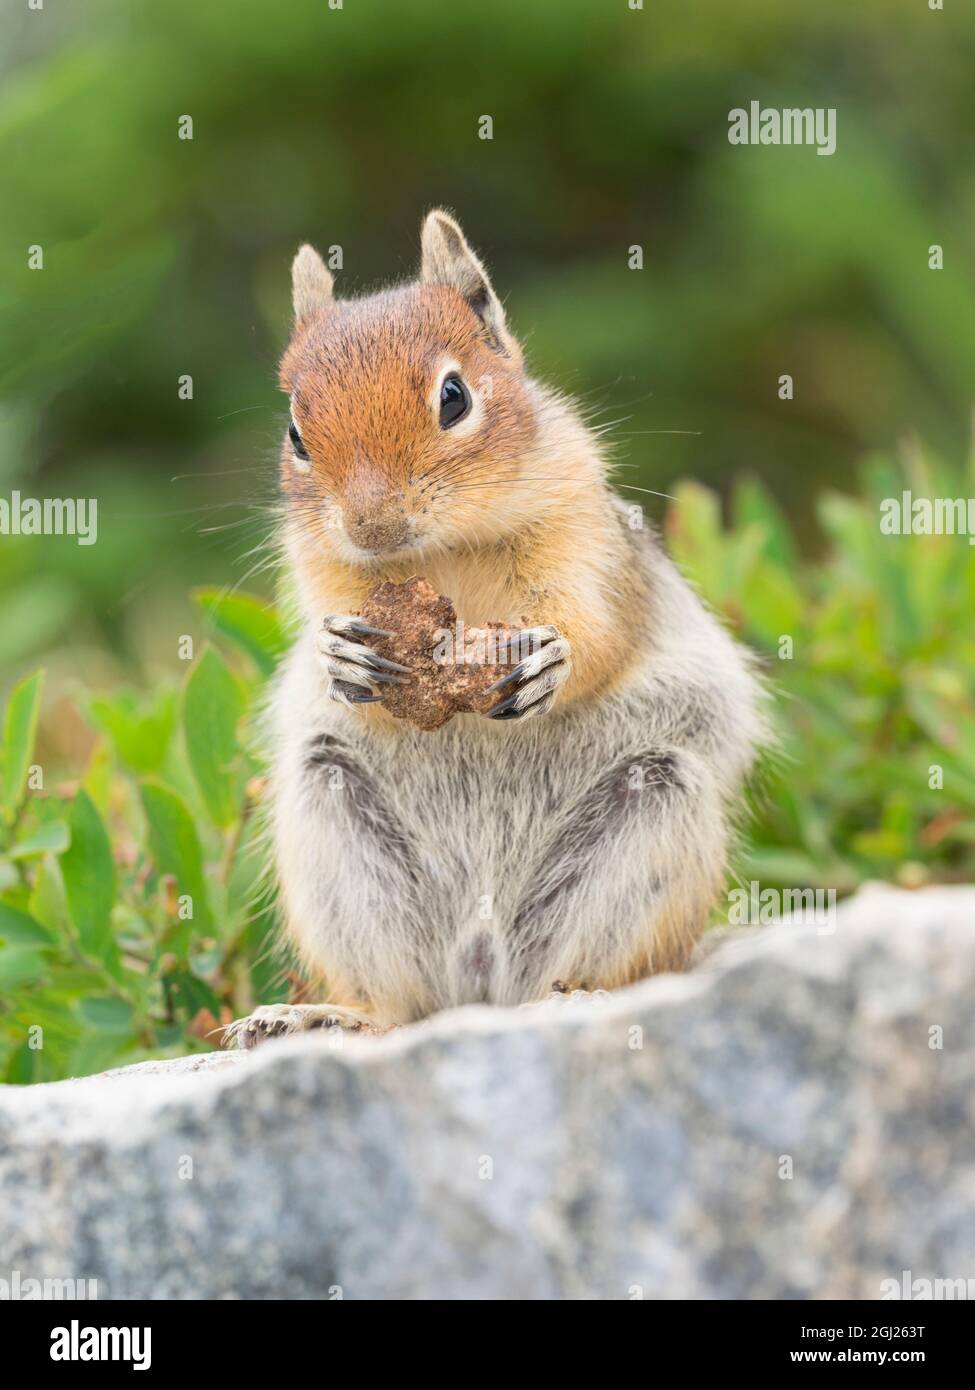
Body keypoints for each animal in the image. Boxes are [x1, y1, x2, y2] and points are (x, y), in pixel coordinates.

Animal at [223, 208, 762, 1050]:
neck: (443, 554)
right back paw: (321, 1017)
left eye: (454, 397)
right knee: (402, 1004)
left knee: (579, 972)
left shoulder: (588, 545)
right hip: (331, 816)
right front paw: (339, 656)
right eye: (295, 434)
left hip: (652, 805)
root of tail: (479, 979)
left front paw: (549, 661)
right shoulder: (319, 571)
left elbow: (600, 632)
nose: (372, 524)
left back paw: (574, 997)